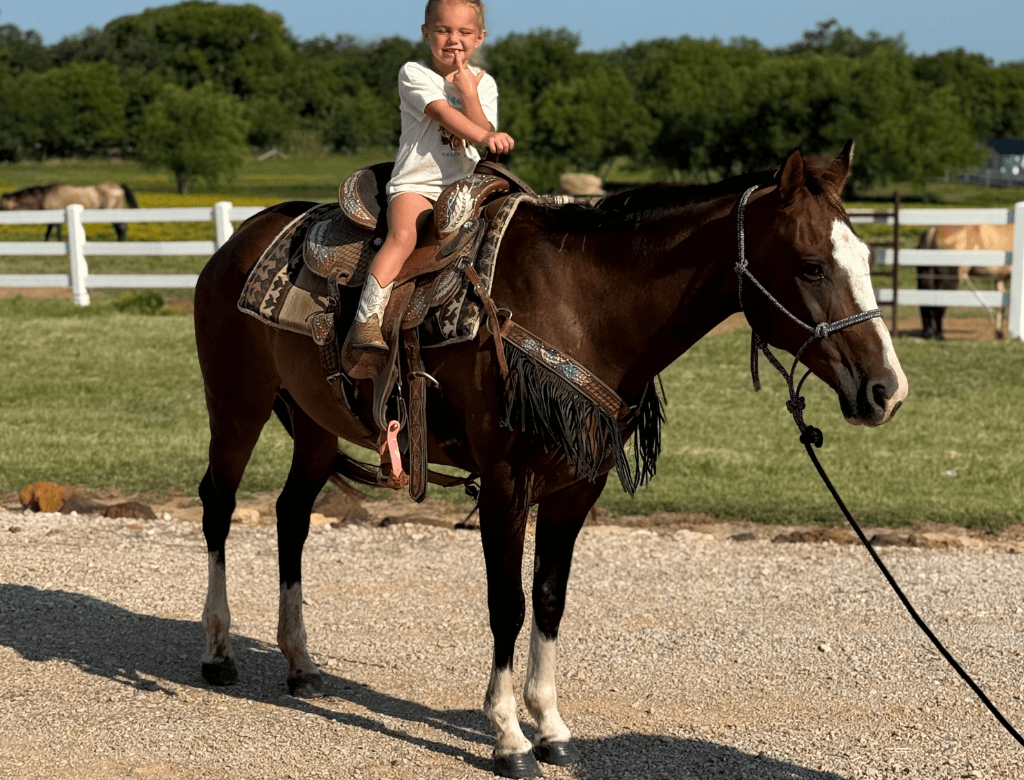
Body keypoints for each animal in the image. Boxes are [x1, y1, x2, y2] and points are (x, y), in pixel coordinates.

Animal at [0, 182, 139, 241]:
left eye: (2, 203)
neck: (45, 195)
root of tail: (119, 186)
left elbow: (55, 230)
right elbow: (50, 230)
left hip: (112, 211)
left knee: (121, 227)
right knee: (121, 227)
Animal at [193, 141, 907, 778]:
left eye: (868, 257)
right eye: (812, 266)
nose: (887, 390)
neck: (579, 306)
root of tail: (242, 238)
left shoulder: (576, 486)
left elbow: (550, 597)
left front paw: (551, 726)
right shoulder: (506, 485)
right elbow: (507, 602)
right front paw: (508, 736)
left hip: (316, 425)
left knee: (292, 515)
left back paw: (301, 662)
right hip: (236, 407)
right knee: (218, 506)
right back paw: (219, 648)